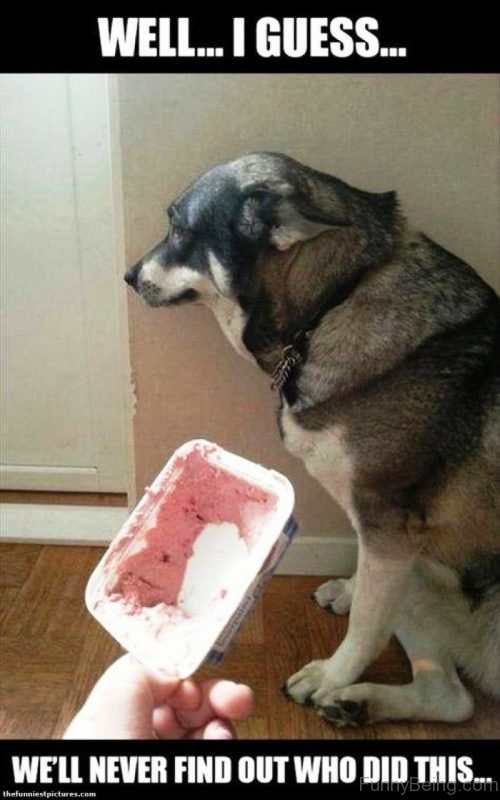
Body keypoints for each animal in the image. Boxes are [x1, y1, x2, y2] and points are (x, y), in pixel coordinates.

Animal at [125, 153, 500, 728]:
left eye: (180, 229)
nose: (127, 276)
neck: (330, 304)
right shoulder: (391, 544)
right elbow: (367, 589)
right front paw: (348, 592)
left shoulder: (389, 526)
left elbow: (367, 622)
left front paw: (331, 674)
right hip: (425, 584)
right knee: (450, 698)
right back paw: (357, 702)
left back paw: (341, 692)